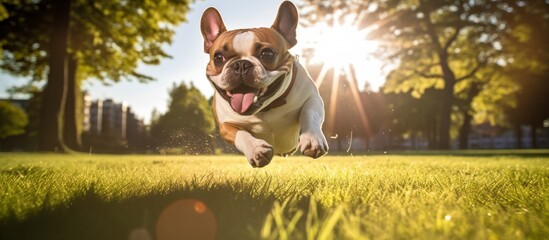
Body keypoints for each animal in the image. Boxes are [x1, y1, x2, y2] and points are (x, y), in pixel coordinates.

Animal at [202, 0, 328, 167]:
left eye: (267, 54)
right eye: (218, 57)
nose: (241, 64)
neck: (266, 108)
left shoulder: (313, 98)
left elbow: (309, 112)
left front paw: (312, 139)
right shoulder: (225, 125)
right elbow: (241, 133)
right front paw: (256, 149)